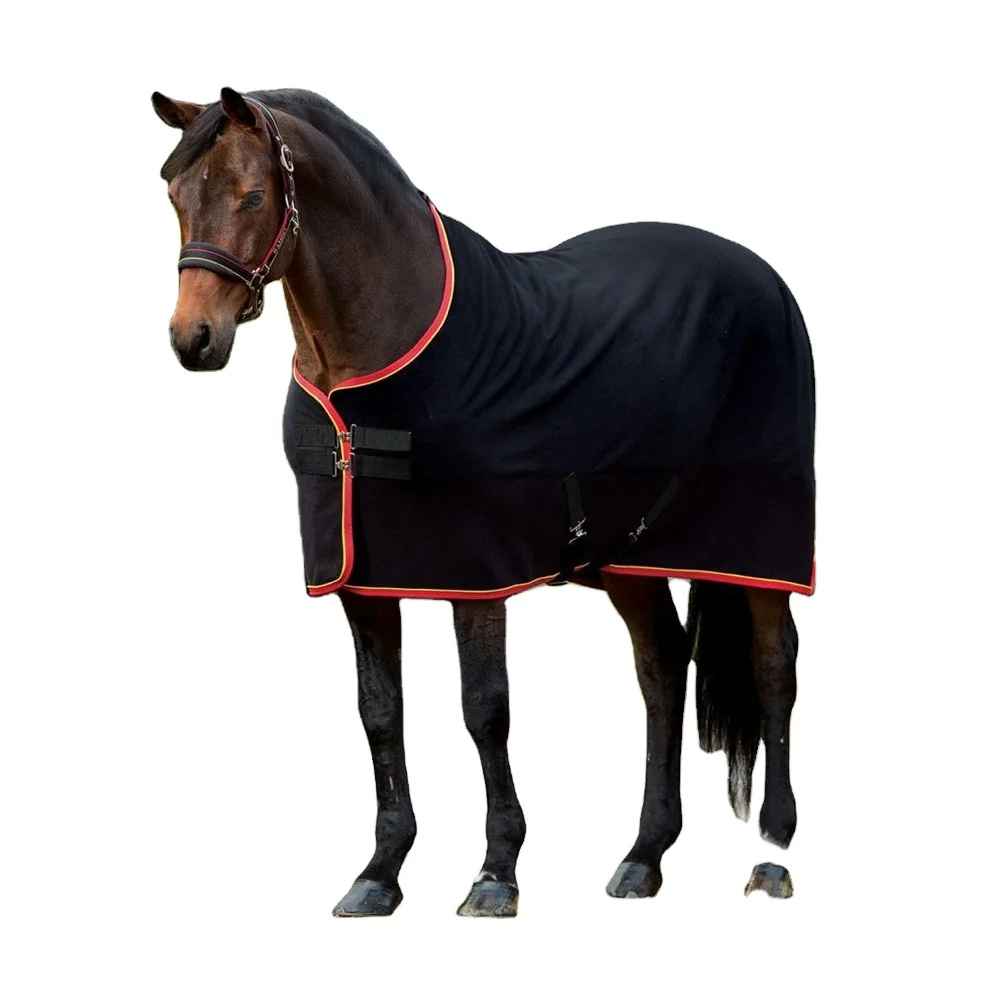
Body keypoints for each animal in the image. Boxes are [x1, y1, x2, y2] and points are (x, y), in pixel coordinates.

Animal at [153, 87, 814, 917]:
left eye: (251, 194)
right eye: (174, 194)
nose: (193, 338)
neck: (379, 356)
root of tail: (761, 275)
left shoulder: (476, 574)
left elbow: (484, 709)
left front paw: (496, 872)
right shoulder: (362, 580)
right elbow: (380, 713)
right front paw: (380, 873)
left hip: (758, 543)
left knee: (774, 668)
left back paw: (776, 852)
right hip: (630, 553)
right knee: (662, 667)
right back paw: (643, 857)